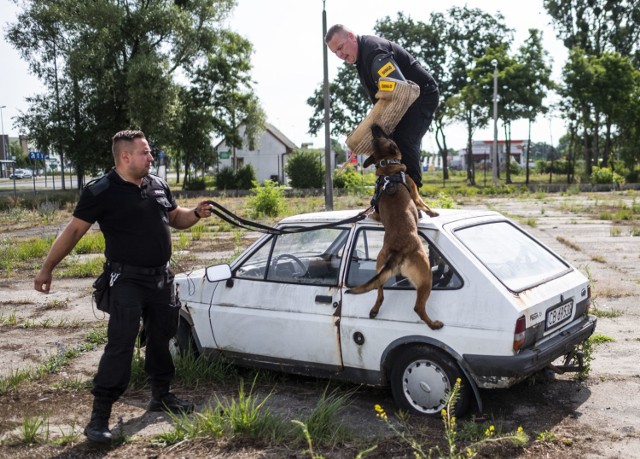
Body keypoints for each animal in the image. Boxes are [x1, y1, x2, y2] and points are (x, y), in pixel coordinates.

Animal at [344, 124, 444, 328]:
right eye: (382, 136)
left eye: (376, 137)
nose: (374, 126)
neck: (387, 167)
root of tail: (399, 251)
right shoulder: (415, 194)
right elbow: (423, 204)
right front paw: (432, 213)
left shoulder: (376, 211)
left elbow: (373, 213)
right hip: (426, 278)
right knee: (418, 308)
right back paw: (433, 324)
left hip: (380, 267)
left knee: (379, 293)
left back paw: (374, 310)